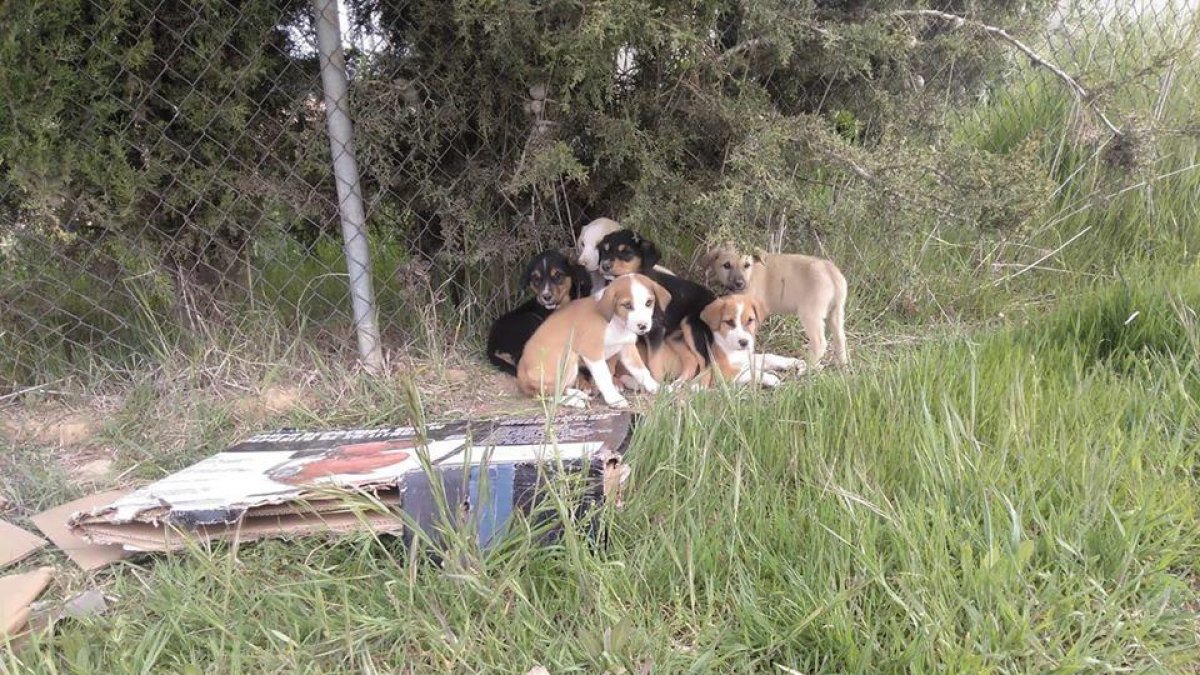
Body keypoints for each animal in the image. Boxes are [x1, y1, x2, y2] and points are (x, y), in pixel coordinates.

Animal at [513, 270, 672, 408]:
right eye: (627, 305)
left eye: (648, 303)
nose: (643, 326)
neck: (616, 323)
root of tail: (521, 376)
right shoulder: (592, 352)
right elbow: (604, 377)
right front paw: (613, 399)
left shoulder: (627, 349)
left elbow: (642, 371)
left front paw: (657, 387)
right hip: (568, 359)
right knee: (546, 394)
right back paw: (574, 401)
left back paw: (577, 394)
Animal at [597, 229, 710, 379]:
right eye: (605, 250)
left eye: (626, 252)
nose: (604, 266)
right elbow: (613, 356)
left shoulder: (655, 330)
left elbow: (654, 362)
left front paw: (657, 382)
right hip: (675, 337)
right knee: (691, 361)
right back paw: (678, 383)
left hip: (693, 327)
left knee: (706, 365)